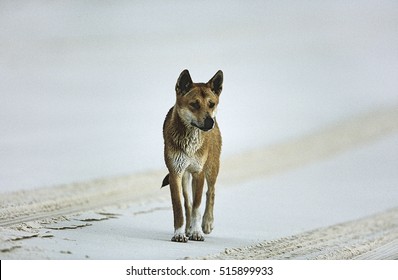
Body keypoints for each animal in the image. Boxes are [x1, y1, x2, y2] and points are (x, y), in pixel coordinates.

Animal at [162, 69, 224, 242]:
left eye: (211, 104)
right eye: (194, 104)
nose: (210, 122)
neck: (190, 142)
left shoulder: (198, 172)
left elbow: (197, 206)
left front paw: (197, 232)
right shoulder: (175, 173)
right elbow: (180, 207)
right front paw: (179, 233)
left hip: (212, 167)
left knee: (211, 192)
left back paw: (207, 223)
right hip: (185, 176)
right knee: (187, 203)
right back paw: (187, 229)